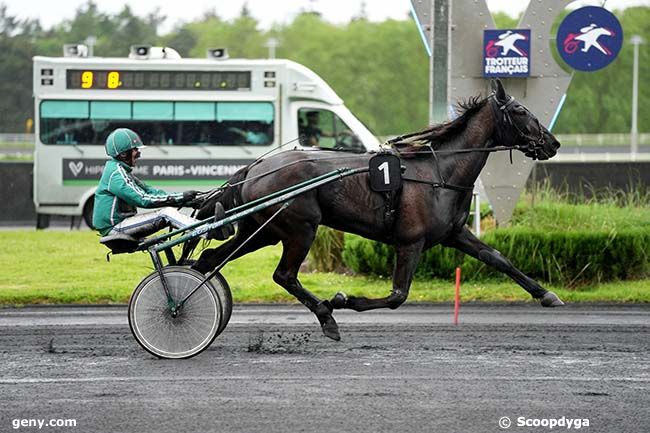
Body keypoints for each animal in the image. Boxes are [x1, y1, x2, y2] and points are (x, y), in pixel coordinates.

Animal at [187, 79, 560, 340]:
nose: (553, 143)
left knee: (209, 260)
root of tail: (255, 166)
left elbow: (497, 258)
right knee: (285, 275)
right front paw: (343, 299)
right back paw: (326, 317)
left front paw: (547, 295)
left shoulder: (454, 233)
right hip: (300, 228)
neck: (439, 173)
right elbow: (397, 295)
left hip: (262, 230)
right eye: (521, 111)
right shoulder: (410, 242)